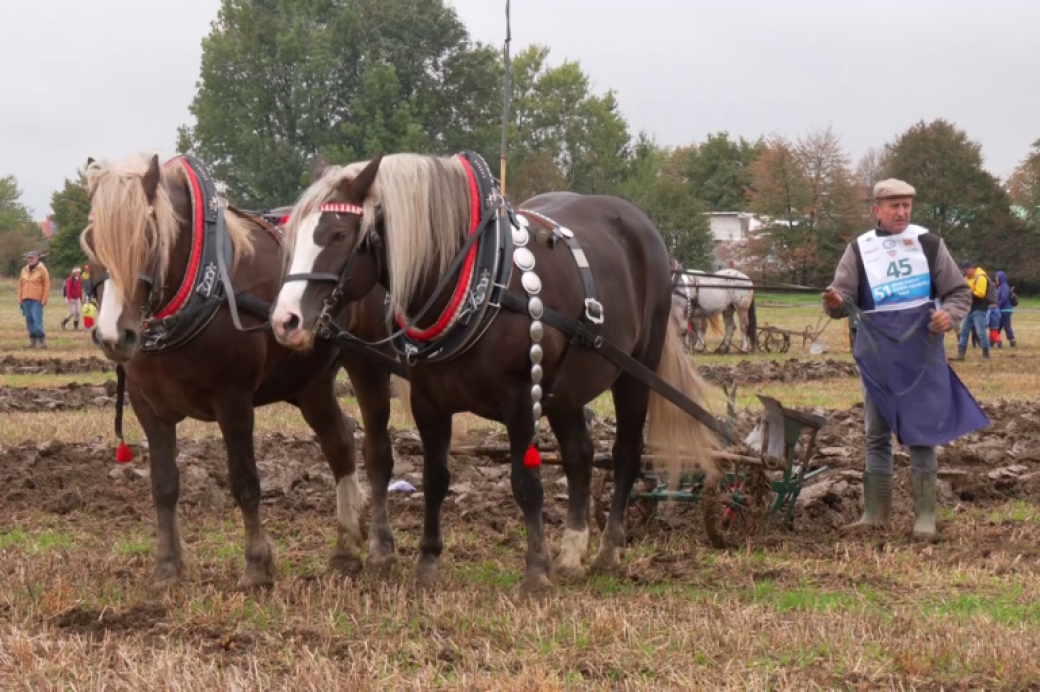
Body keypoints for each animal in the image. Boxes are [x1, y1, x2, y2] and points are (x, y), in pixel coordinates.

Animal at [79, 152, 397, 586]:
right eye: (91, 241)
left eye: (148, 237)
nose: (114, 335)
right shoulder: (148, 406)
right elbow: (164, 484)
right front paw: (167, 567)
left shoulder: (234, 400)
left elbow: (245, 480)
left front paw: (257, 565)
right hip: (310, 383)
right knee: (340, 445)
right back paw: (346, 548)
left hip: (367, 364)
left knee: (376, 451)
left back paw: (380, 546)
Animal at [272, 150, 719, 595]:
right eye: (291, 237)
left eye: (338, 236)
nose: (285, 320)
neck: (475, 280)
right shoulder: (428, 402)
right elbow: (435, 478)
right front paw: (427, 562)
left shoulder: (520, 398)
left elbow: (526, 482)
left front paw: (536, 572)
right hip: (565, 390)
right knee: (580, 454)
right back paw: (572, 553)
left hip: (636, 371)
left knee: (626, 453)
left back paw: (608, 551)